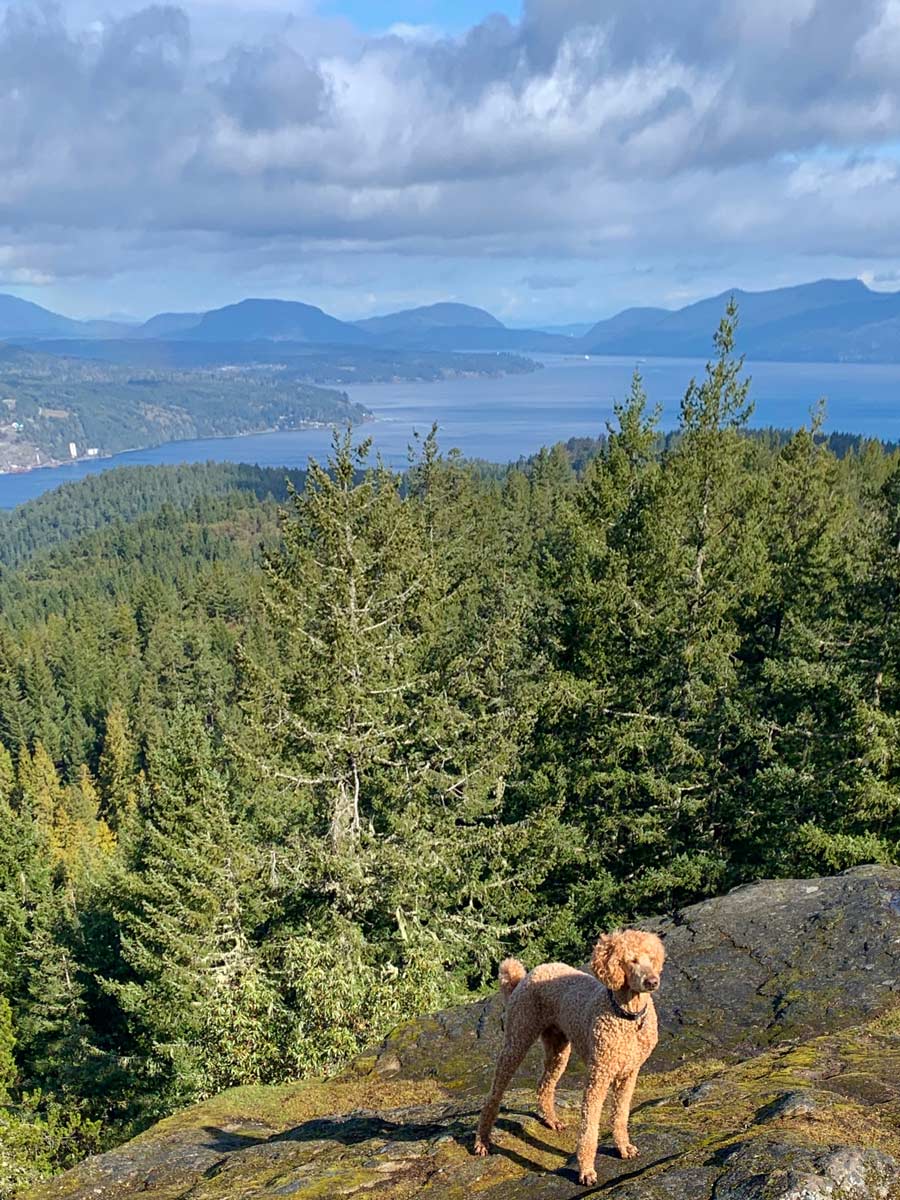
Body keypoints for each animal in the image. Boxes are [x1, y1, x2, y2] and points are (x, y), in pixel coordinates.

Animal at [475, 921, 667, 1185]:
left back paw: (551, 1120)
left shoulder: (629, 1074)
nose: (652, 981)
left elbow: (620, 1115)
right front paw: (586, 1170)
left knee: (544, 1085)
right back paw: (482, 1140)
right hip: (517, 1039)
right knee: (494, 1094)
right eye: (632, 960)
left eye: (652, 958)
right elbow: (589, 1126)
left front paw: (623, 1147)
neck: (626, 1014)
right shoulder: (598, 1076)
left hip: (558, 1048)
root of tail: (527, 975)